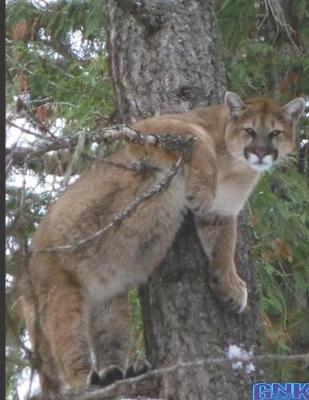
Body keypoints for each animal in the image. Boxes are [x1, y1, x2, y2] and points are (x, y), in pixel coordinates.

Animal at [20, 93, 304, 396]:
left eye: (275, 133)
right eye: (249, 130)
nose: (261, 152)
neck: (236, 166)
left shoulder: (222, 211)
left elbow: (224, 246)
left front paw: (229, 286)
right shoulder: (150, 128)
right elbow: (199, 142)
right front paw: (201, 191)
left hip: (110, 304)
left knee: (110, 337)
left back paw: (117, 373)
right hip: (61, 293)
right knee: (68, 350)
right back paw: (89, 381)